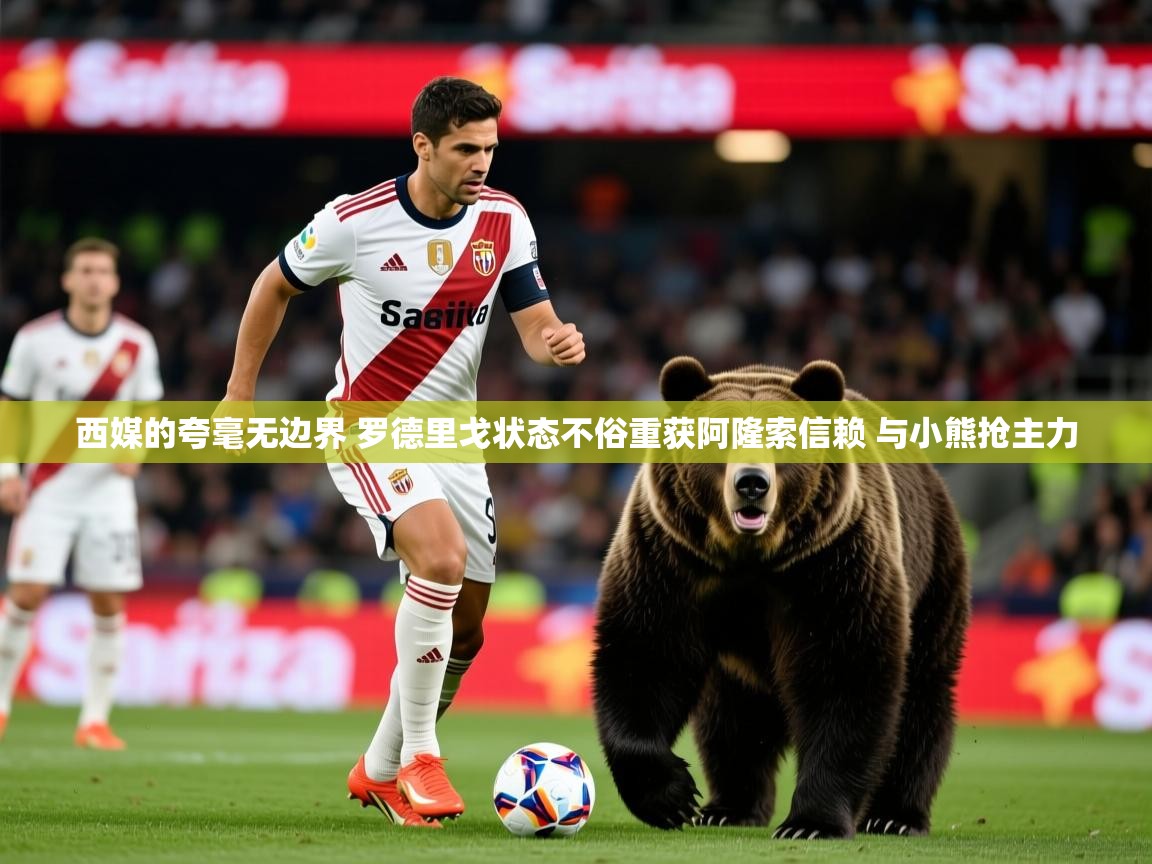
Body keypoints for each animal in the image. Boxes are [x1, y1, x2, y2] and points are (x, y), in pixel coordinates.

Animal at [592, 357, 970, 839]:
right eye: (719, 434)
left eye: (783, 436)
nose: (752, 483)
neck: (751, 558)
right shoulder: (670, 557)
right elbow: (644, 654)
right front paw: (671, 797)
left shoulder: (831, 564)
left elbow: (843, 674)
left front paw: (811, 822)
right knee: (731, 718)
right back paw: (729, 806)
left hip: (934, 570)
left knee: (922, 693)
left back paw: (895, 816)